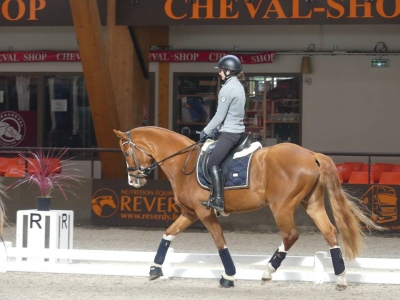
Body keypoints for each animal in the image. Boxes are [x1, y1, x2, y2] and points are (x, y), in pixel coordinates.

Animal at [114, 127, 382, 290]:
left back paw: (267, 272)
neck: (182, 163)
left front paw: (229, 276)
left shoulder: (204, 213)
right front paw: (155, 268)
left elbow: (220, 242)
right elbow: (168, 233)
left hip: (282, 206)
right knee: (329, 233)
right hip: (312, 203)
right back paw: (341, 279)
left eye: (126, 151)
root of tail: (309, 154)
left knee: (290, 235)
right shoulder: (189, 213)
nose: (133, 181)